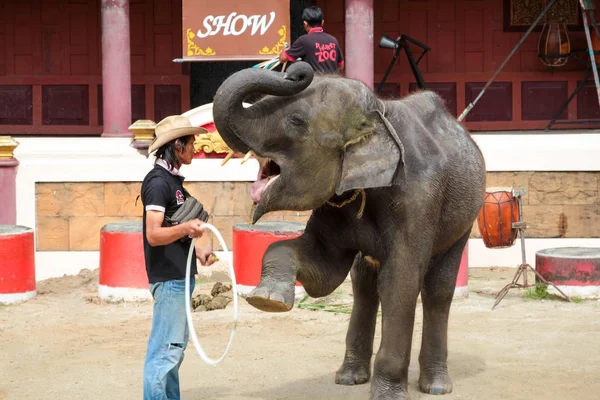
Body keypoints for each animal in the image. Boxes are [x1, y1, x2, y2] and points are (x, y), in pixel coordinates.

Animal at [213, 61, 486, 398]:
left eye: (296, 121)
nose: (296, 70)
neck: (380, 113)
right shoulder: (335, 202)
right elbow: (324, 270)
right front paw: (268, 300)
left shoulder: (418, 200)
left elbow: (400, 282)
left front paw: (387, 396)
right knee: (364, 286)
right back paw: (349, 377)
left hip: (464, 219)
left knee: (437, 288)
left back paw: (435, 387)